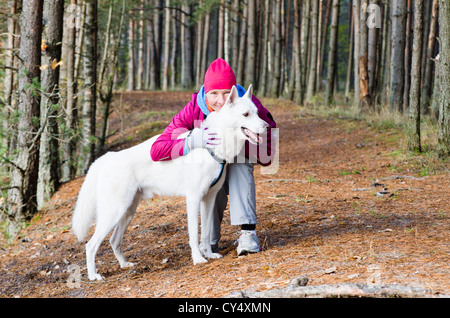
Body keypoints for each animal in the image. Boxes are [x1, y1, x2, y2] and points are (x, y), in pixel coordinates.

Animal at [70, 85, 268, 280]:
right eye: (246, 114)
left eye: (257, 113)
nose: (266, 126)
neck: (213, 144)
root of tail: (107, 157)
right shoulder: (193, 199)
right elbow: (194, 235)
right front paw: (198, 259)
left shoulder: (208, 199)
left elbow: (205, 233)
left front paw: (209, 254)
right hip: (114, 212)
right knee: (91, 245)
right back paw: (93, 275)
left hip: (127, 212)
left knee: (114, 241)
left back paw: (124, 265)